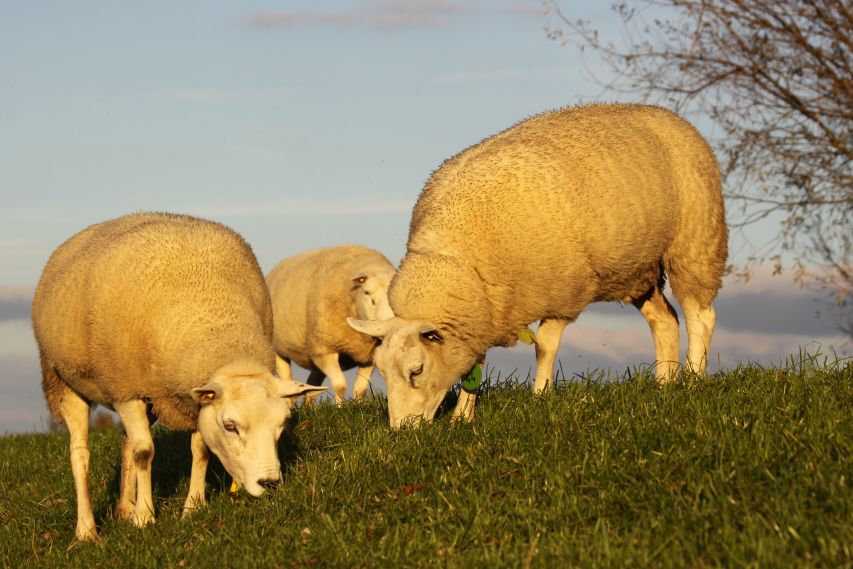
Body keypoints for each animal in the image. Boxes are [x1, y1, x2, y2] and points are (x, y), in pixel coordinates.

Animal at [31, 211, 324, 540]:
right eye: (231, 426)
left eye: (283, 422)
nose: (270, 483)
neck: (217, 325)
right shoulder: (126, 390)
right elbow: (145, 452)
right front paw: (145, 517)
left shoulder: (193, 399)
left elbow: (200, 449)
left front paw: (192, 507)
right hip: (64, 381)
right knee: (80, 453)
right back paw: (86, 529)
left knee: (126, 442)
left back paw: (124, 508)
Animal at [266, 244, 396, 404]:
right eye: (367, 293)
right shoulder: (325, 349)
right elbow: (340, 384)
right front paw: (339, 407)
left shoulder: (369, 356)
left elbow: (361, 388)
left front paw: (359, 406)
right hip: (279, 349)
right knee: (287, 378)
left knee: (312, 385)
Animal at [350, 104, 728, 428]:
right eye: (381, 371)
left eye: (416, 371)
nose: (402, 430)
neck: (455, 257)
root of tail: (671, 117)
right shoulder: (483, 312)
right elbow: (476, 363)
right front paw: (463, 416)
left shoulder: (564, 291)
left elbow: (544, 346)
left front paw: (540, 396)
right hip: (636, 270)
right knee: (665, 321)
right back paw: (664, 383)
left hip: (696, 242)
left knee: (700, 315)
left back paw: (693, 378)